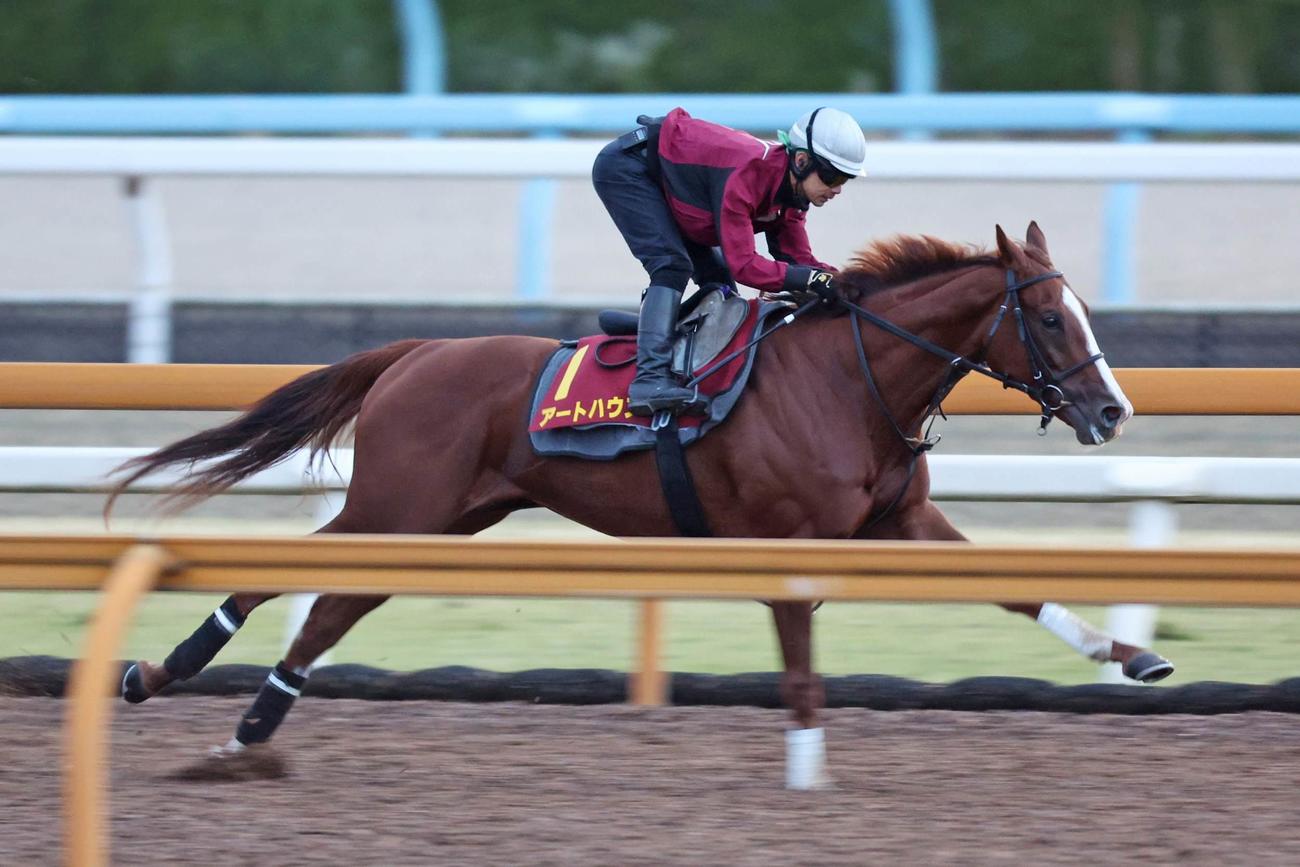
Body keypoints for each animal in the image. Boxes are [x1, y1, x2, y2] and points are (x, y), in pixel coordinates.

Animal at [110, 222, 1172, 788]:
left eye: (1079, 312)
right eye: (1049, 317)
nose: (1113, 410)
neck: (850, 381)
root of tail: (416, 351)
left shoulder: (898, 524)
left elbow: (1015, 586)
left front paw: (1133, 655)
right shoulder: (784, 543)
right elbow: (800, 670)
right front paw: (808, 772)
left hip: (446, 517)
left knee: (332, 602)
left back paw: (235, 718)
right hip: (404, 503)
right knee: (311, 585)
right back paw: (183, 678)